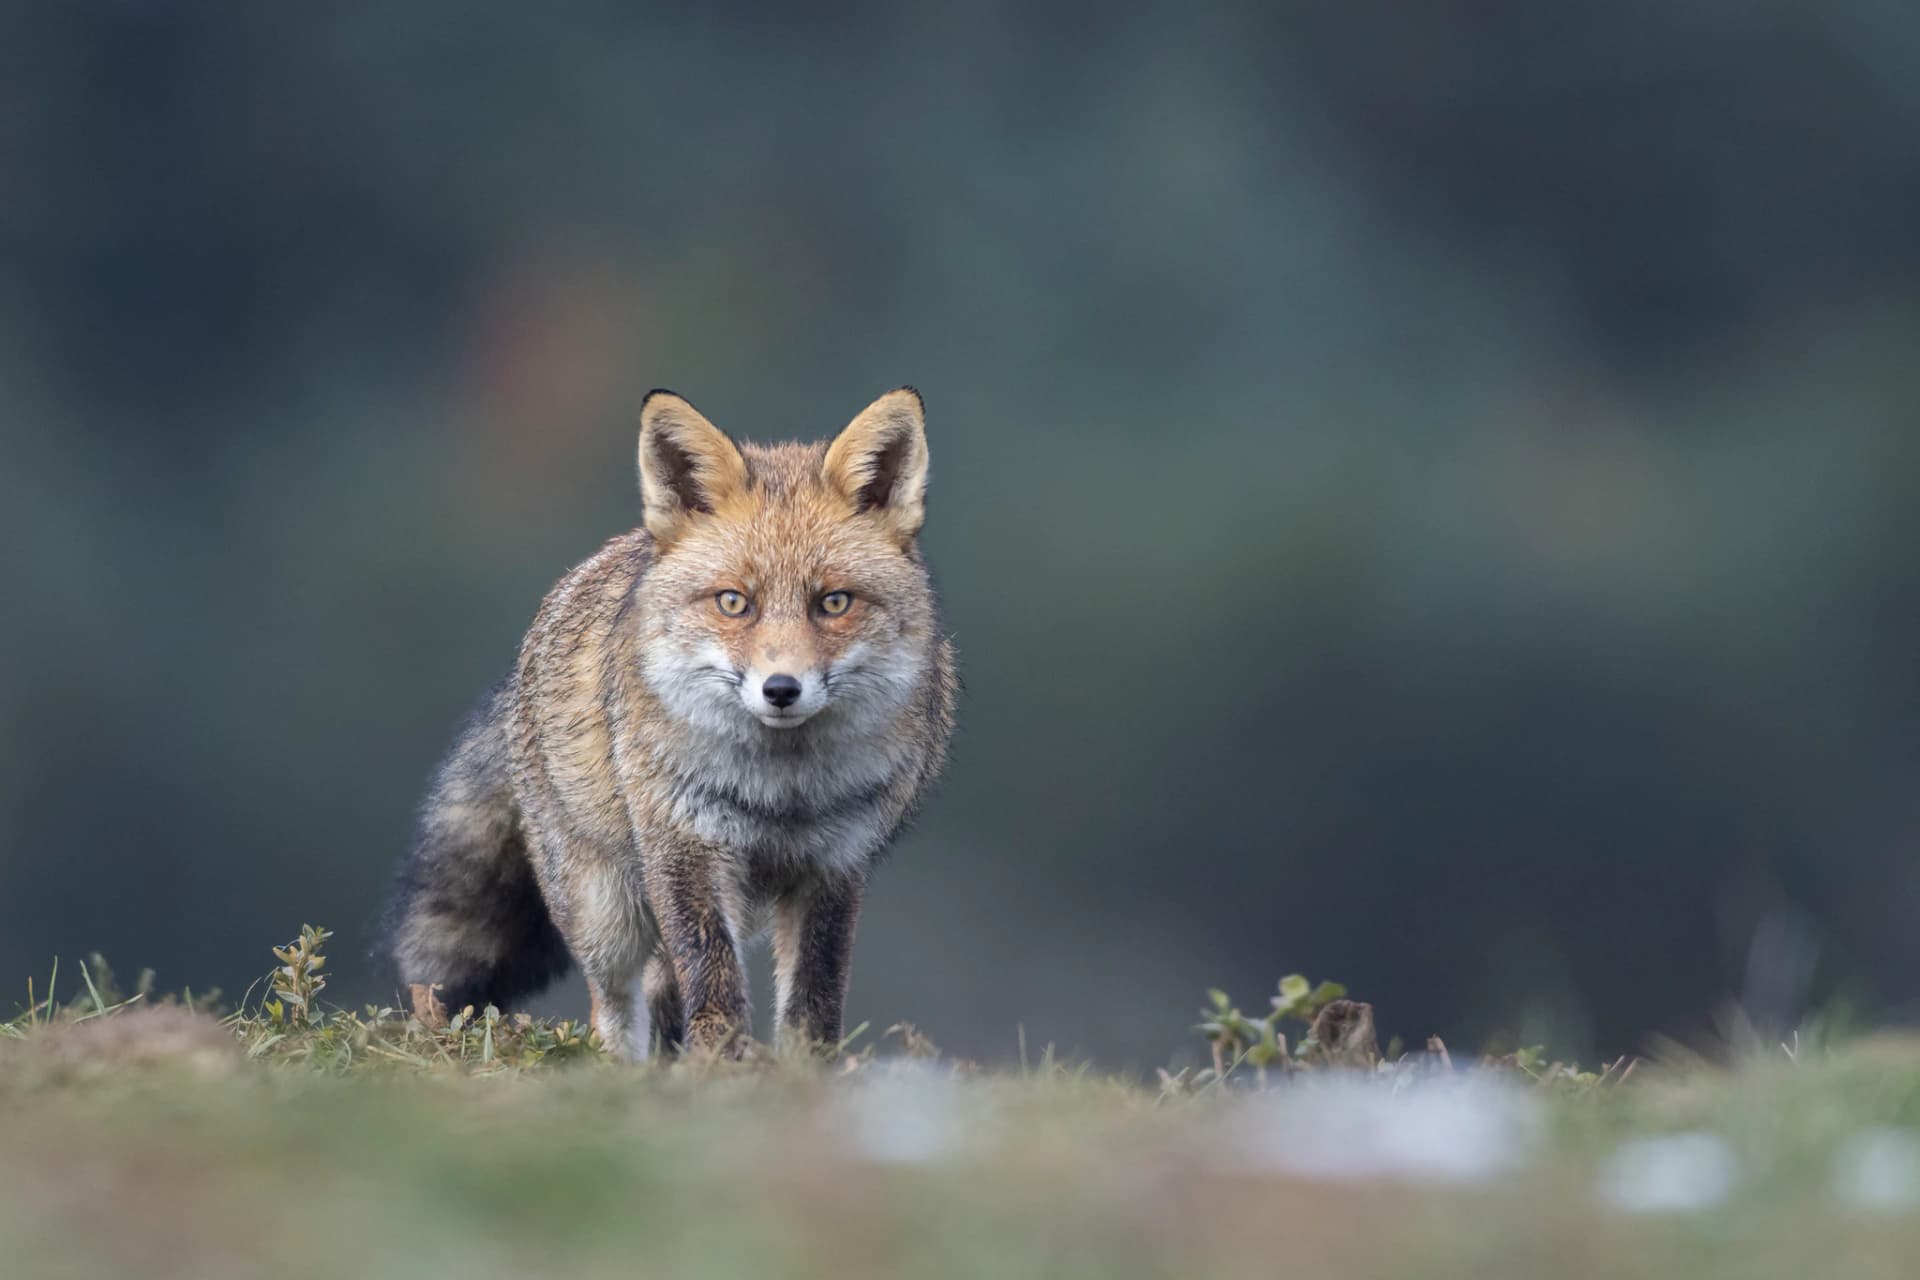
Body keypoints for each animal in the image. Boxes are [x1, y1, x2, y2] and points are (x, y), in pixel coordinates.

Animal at [378, 388, 957, 1059]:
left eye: (833, 602)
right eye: (734, 602)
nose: (781, 690)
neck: (781, 794)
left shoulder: (835, 865)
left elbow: (813, 1002)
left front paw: (803, 1073)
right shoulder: (685, 849)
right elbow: (715, 981)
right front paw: (719, 1069)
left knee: (661, 990)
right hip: (605, 910)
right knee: (613, 1004)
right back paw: (622, 1070)